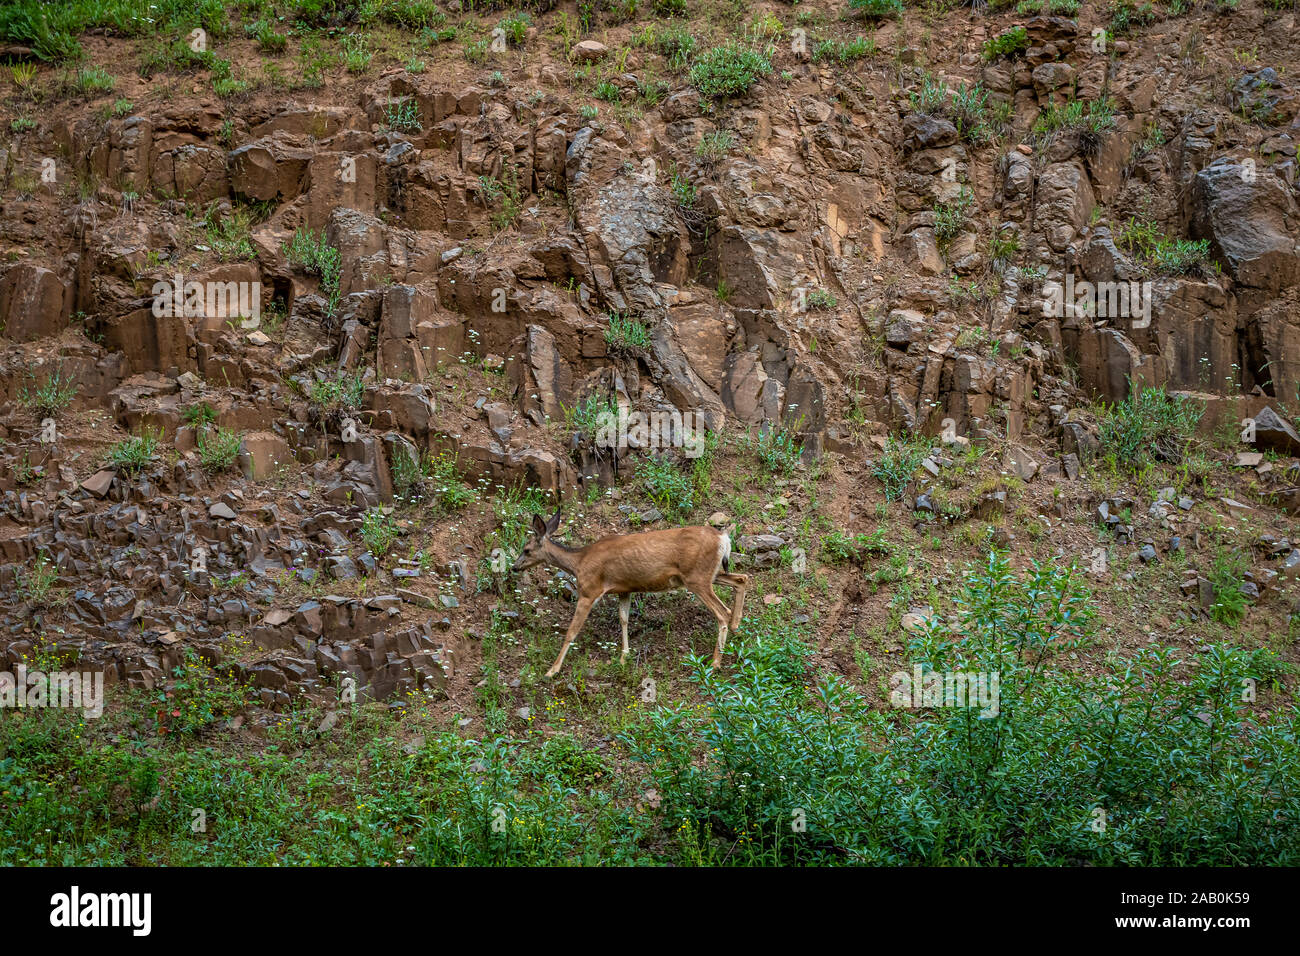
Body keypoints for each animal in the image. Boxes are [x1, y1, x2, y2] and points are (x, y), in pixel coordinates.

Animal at [512, 508, 750, 678]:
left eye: (526, 550)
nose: (514, 567)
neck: (579, 562)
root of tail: (724, 538)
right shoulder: (623, 589)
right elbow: (623, 619)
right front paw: (624, 657)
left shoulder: (590, 590)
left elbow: (572, 631)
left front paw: (552, 670)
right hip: (707, 574)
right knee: (742, 579)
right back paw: (737, 626)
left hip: (697, 578)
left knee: (722, 611)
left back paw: (716, 662)